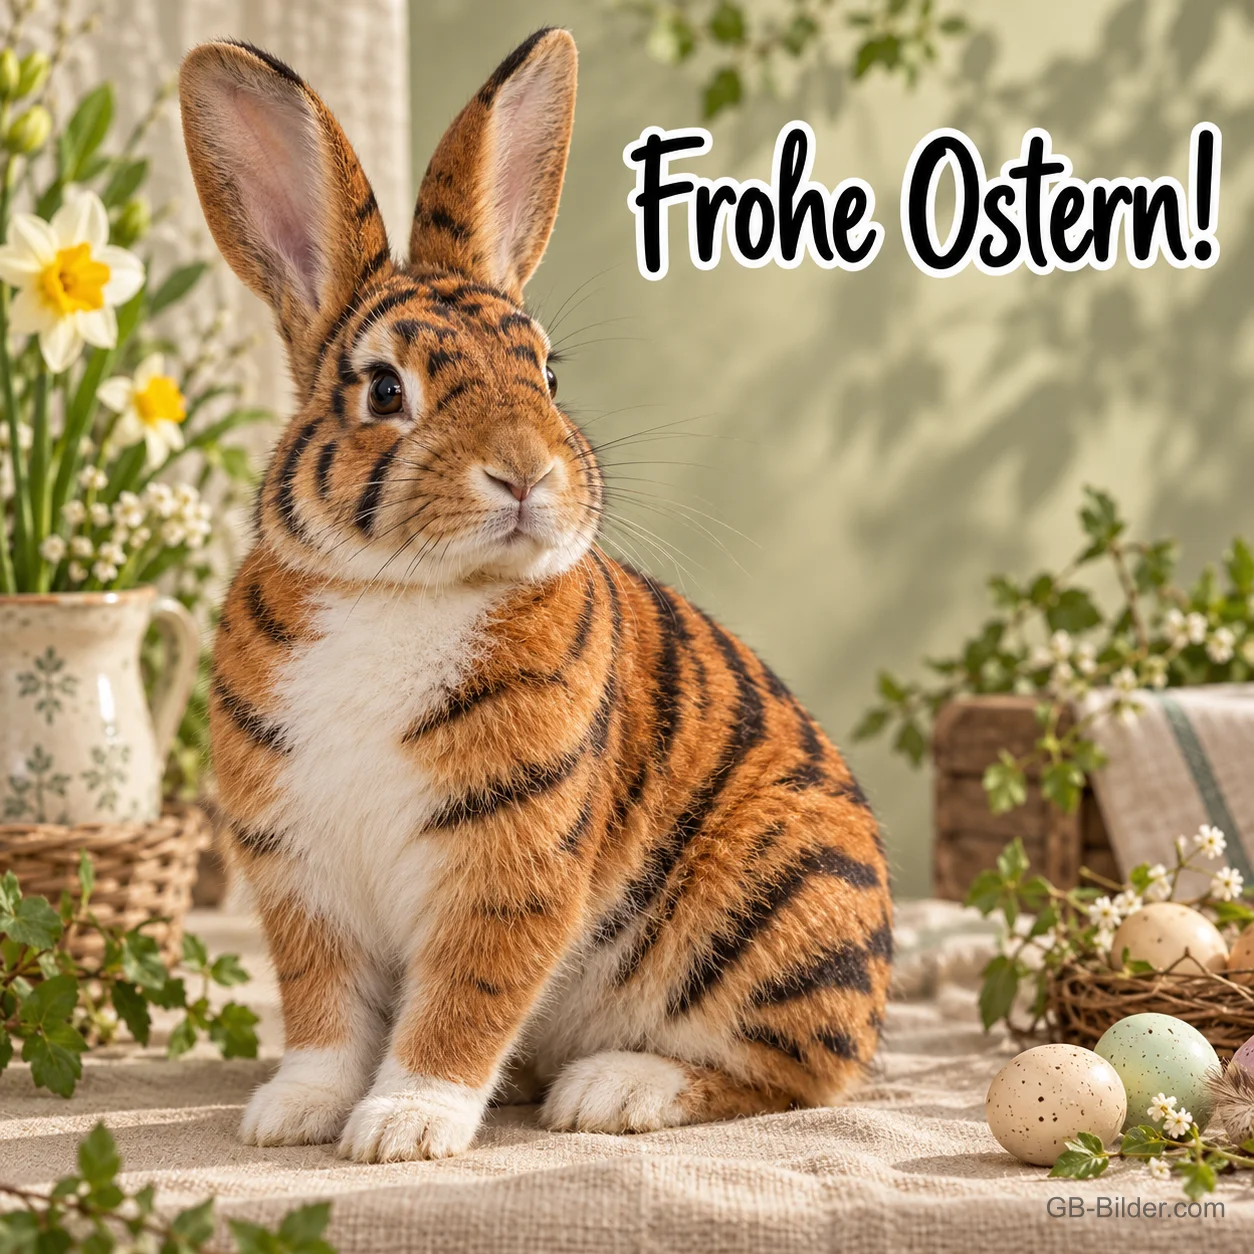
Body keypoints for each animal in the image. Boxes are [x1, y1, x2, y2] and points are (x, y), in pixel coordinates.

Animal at [179, 28, 891, 1163]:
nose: (526, 474)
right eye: (385, 390)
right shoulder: (302, 881)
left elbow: (462, 1005)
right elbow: (323, 1014)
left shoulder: (508, 866)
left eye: (549, 375)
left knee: (798, 1073)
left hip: (772, 905)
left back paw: (614, 1090)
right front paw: (291, 1116)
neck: (401, 588)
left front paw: (403, 1130)